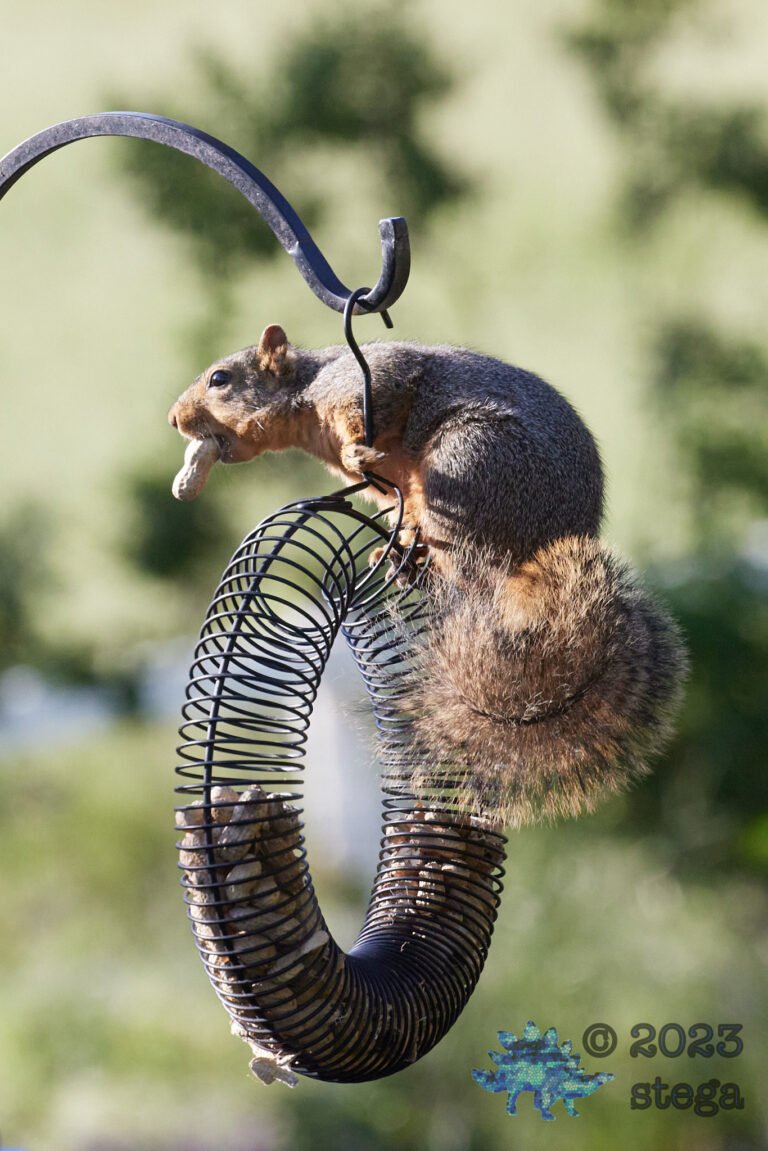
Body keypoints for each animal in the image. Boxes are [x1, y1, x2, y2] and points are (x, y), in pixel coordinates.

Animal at [168, 323, 687, 828]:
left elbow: (384, 393)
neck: (307, 407)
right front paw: (390, 529)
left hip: (468, 462)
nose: (175, 419)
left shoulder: (363, 379)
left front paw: (357, 453)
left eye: (220, 379)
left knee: (469, 566)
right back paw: (401, 556)